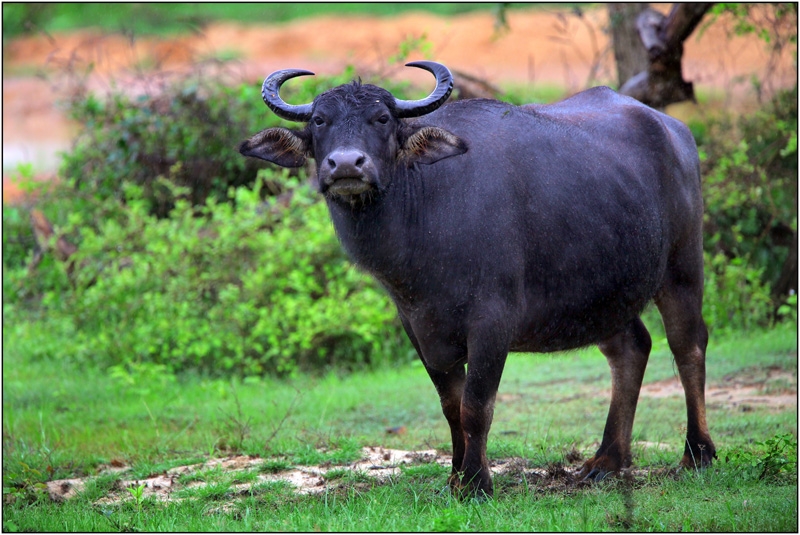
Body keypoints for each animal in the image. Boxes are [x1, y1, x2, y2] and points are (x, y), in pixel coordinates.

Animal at [239, 61, 720, 498]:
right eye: (320, 121)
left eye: (382, 119)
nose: (345, 165)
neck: (426, 217)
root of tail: (673, 130)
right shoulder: (419, 328)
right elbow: (451, 406)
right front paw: (455, 477)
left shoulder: (493, 322)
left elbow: (476, 406)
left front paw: (477, 482)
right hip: (604, 293)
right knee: (631, 349)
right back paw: (605, 461)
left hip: (681, 266)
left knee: (688, 345)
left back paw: (697, 454)